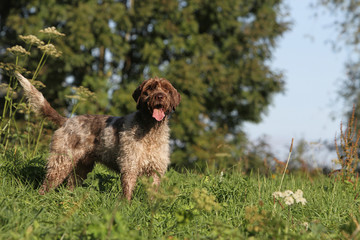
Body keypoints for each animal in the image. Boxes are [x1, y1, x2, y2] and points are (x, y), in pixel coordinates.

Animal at [15, 71, 181, 201]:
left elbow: (153, 194)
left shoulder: (156, 170)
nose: (159, 96)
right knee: (47, 184)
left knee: (70, 184)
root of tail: (67, 120)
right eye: (149, 89)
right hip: (61, 161)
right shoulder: (130, 166)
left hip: (82, 166)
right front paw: (125, 206)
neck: (150, 130)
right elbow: (127, 190)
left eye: (166, 90)